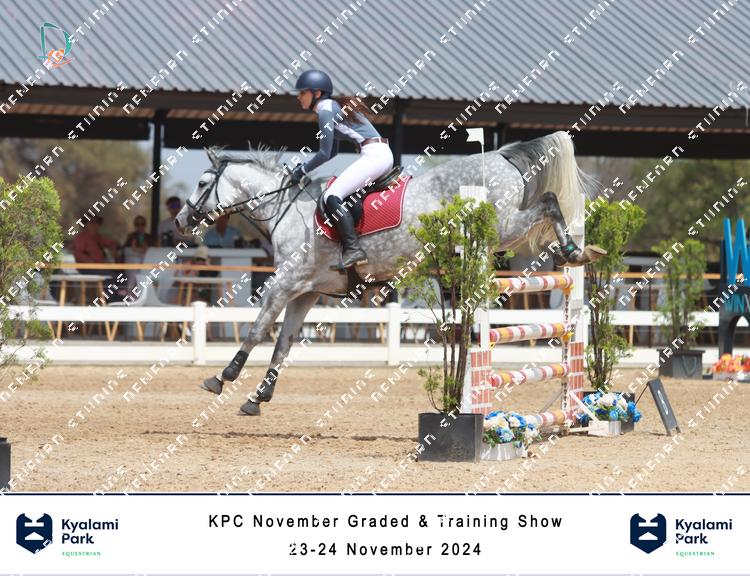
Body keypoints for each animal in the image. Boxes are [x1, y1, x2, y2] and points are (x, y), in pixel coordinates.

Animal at [175, 130, 605, 416]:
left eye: (202, 183)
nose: (180, 221)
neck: (286, 209)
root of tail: (500, 155)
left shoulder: (286, 283)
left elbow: (257, 328)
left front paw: (223, 377)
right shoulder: (306, 291)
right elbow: (283, 343)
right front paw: (258, 398)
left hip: (502, 227)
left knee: (547, 202)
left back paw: (572, 248)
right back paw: (579, 251)